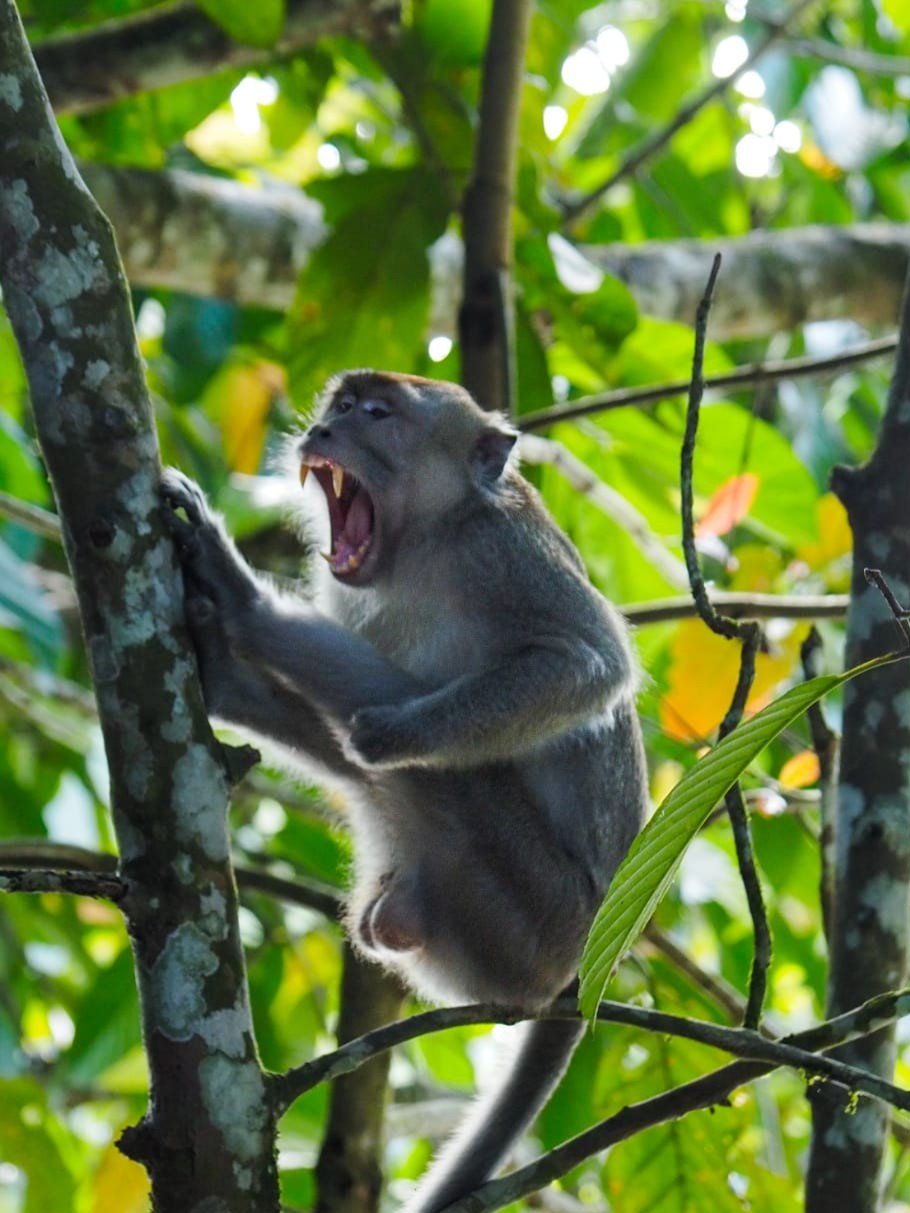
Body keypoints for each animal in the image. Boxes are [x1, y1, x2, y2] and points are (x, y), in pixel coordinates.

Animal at [160, 369, 648, 1213]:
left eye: (379, 414)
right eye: (340, 405)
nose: (324, 430)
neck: (425, 541)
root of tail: (584, 968)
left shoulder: (503, 556)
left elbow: (589, 663)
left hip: (536, 919)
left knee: (446, 774)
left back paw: (253, 621)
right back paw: (229, 670)